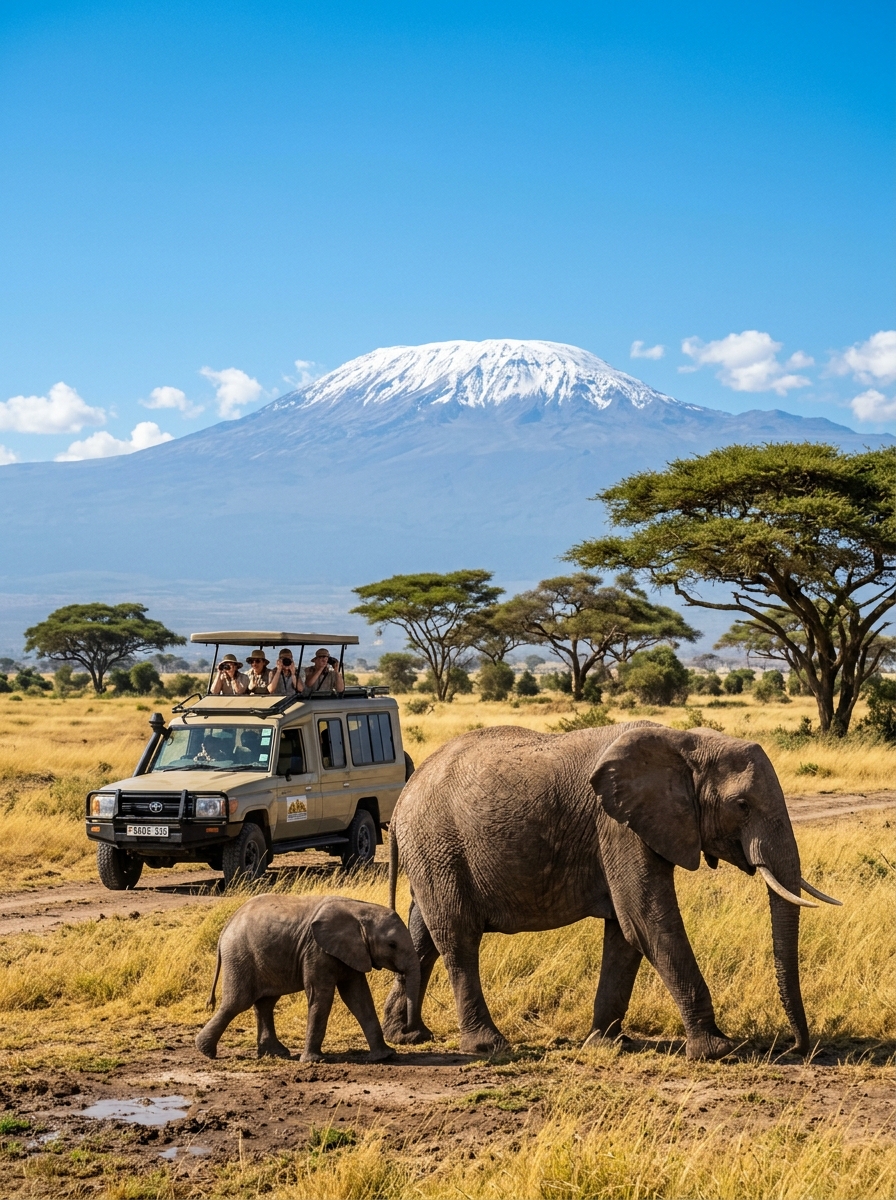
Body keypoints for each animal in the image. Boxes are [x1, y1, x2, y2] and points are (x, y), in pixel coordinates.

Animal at [196, 894, 421, 1062]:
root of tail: (226, 927)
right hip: (240, 956)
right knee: (237, 1002)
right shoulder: (317, 950)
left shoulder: (353, 952)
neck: (359, 910)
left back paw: (276, 1053)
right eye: (392, 945)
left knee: (265, 1003)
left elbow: (358, 997)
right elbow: (322, 996)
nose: (407, 1030)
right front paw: (314, 1060)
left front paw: (385, 1056)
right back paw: (205, 1051)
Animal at [383, 722, 840, 1060]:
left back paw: (407, 1036)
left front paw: (607, 1044)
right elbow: (647, 921)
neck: (686, 743)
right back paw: (487, 1046)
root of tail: (404, 793)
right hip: (439, 844)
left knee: (421, 934)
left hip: (433, 853)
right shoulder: (618, 827)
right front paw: (718, 1050)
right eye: (742, 805)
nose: (795, 1048)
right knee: (458, 938)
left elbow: (625, 933)